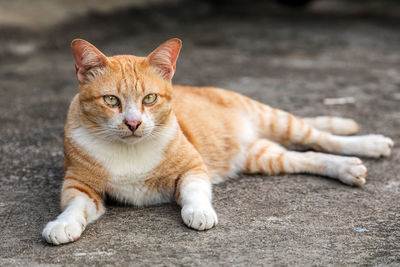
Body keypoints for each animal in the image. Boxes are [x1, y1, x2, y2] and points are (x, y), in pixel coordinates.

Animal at [41, 37, 394, 245]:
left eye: (150, 98)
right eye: (112, 100)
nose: (133, 123)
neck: (130, 151)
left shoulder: (194, 166)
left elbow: (194, 192)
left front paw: (199, 213)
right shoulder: (80, 184)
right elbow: (74, 206)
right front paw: (62, 225)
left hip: (275, 119)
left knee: (320, 137)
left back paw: (368, 144)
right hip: (263, 156)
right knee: (308, 156)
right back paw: (347, 169)